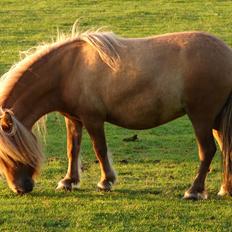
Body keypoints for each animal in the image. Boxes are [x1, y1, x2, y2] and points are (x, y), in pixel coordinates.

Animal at [0, 27, 231, 199]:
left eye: (7, 155)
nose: (21, 188)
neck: (67, 69)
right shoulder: (74, 119)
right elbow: (72, 149)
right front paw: (69, 181)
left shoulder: (93, 119)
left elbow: (100, 149)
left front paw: (106, 182)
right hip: (216, 120)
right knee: (223, 148)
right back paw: (225, 189)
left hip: (201, 117)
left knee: (208, 151)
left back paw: (193, 191)